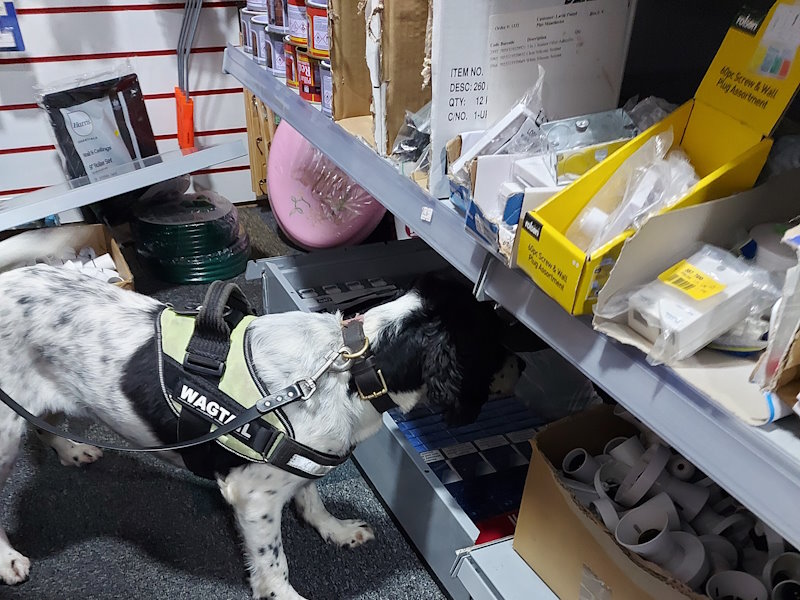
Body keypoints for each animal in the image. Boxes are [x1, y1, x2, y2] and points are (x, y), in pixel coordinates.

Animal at [0, 264, 520, 596]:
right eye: (497, 341)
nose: (525, 358)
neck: (347, 369)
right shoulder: (253, 498)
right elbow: (274, 562)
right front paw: (283, 593)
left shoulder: (297, 462)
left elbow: (311, 496)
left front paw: (334, 529)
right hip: (2, 436)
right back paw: (7, 560)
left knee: (44, 426)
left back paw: (72, 451)